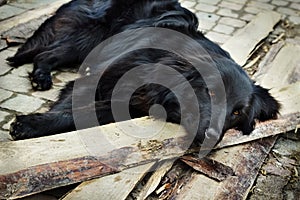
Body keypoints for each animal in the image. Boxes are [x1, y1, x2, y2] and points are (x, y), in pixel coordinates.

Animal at [7, 0, 278, 145]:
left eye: (237, 113)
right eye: (210, 92)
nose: (212, 136)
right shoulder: (92, 80)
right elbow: (70, 109)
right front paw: (34, 125)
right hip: (87, 38)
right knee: (44, 53)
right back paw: (41, 76)